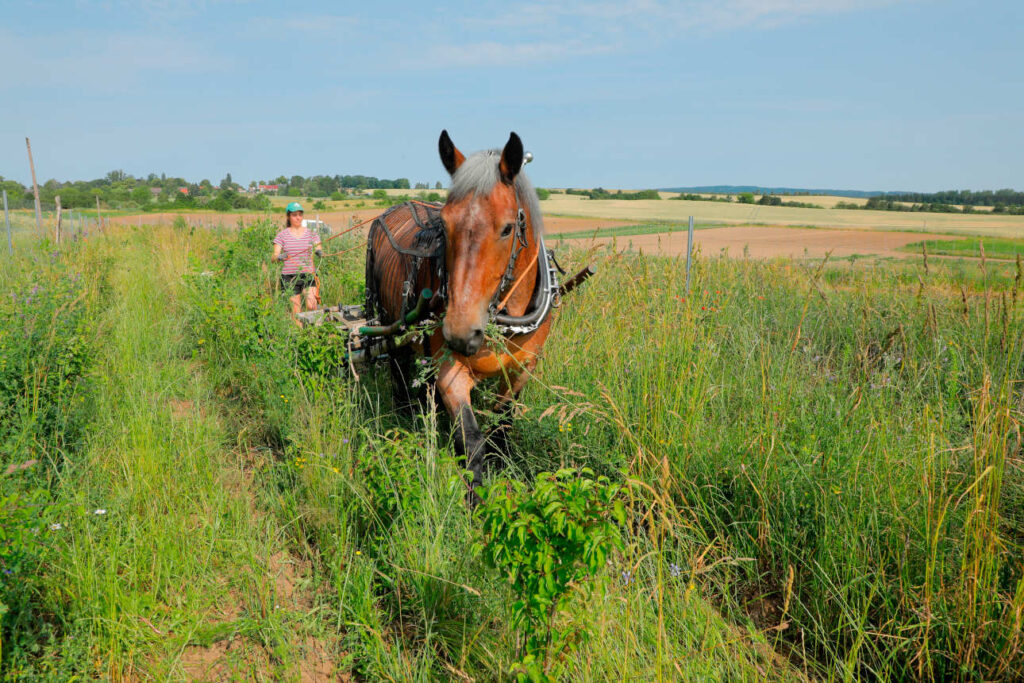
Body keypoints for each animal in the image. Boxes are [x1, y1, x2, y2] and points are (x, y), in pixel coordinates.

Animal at [364, 129, 561, 491]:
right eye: (444, 225)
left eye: (507, 228)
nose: (459, 332)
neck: (505, 317)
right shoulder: (450, 369)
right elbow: (470, 441)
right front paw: (476, 499)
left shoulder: (522, 369)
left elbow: (502, 425)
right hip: (390, 324)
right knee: (398, 369)